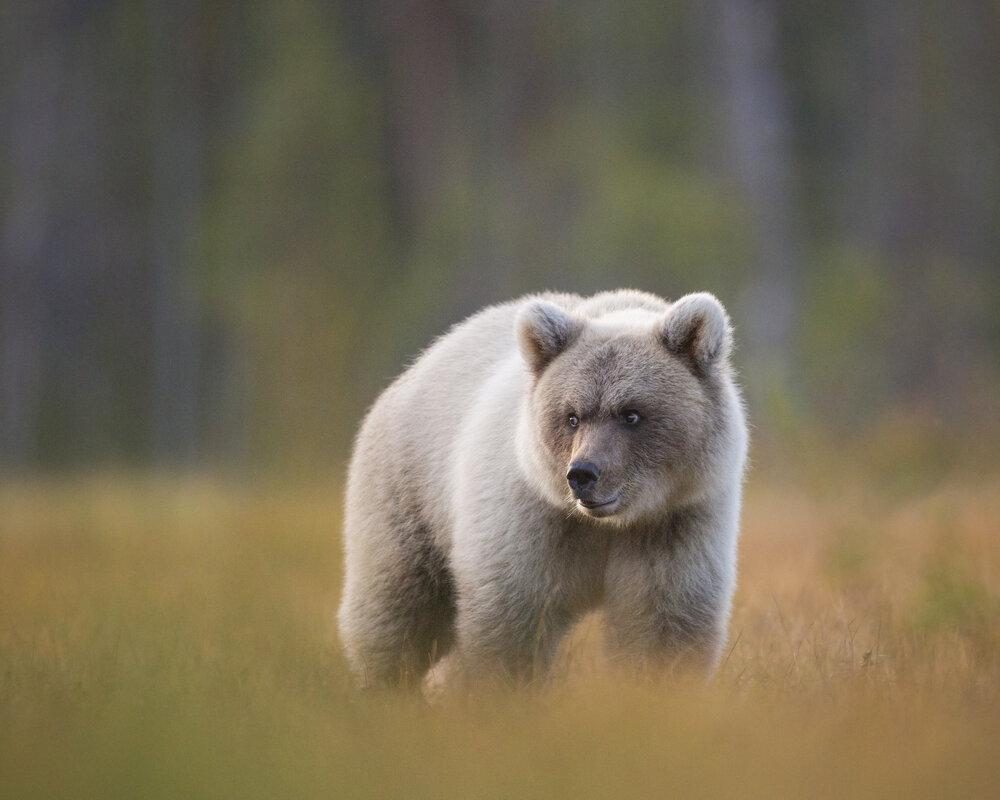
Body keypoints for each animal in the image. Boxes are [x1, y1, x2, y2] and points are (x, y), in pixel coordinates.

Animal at [337, 289, 748, 690]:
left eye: (631, 413)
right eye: (572, 416)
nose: (582, 474)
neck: (607, 525)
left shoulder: (673, 522)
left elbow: (662, 627)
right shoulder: (531, 520)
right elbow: (513, 619)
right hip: (408, 494)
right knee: (399, 607)